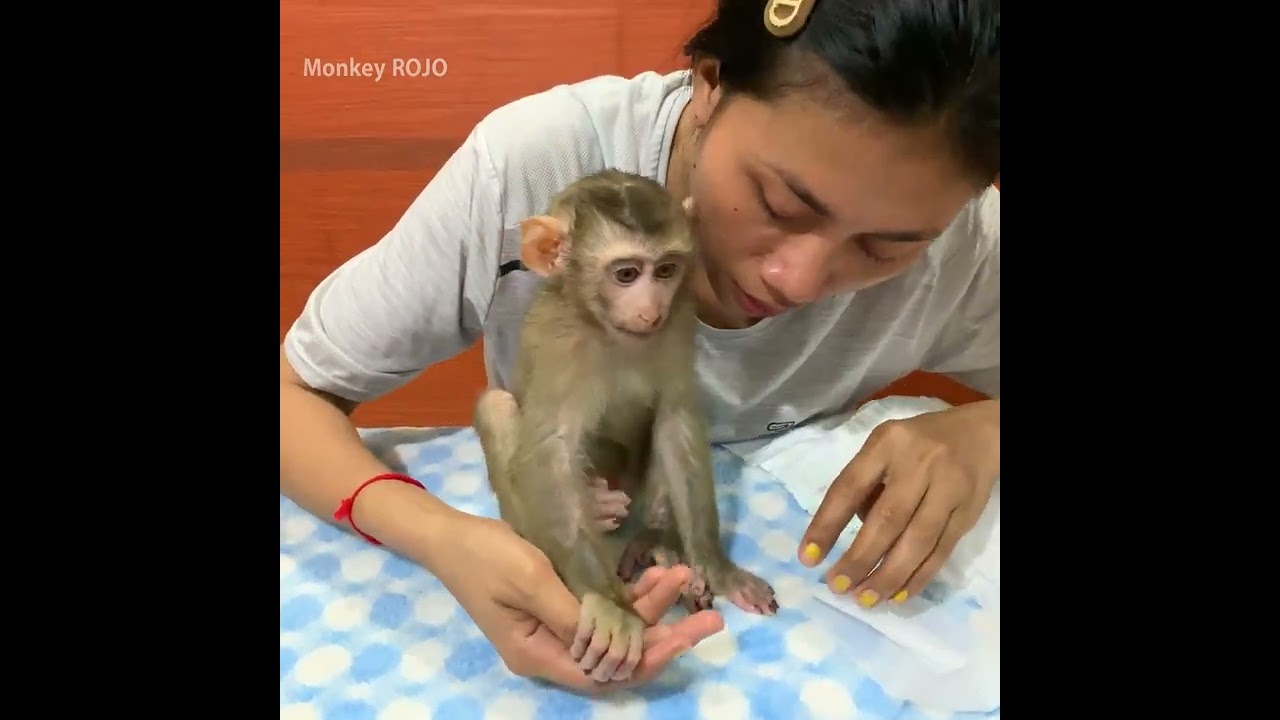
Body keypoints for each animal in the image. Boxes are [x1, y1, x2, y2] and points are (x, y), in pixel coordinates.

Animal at [473, 169, 777, 685]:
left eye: (667, 270)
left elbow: (675, 419)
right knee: (496, 405)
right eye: (627, 274)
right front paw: (611, 605)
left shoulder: (678, 321)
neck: (609, 333)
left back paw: (655, 543)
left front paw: (715, 566)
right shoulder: (561, 343)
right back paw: (596, 510)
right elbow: (549, 449)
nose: (651, 309)